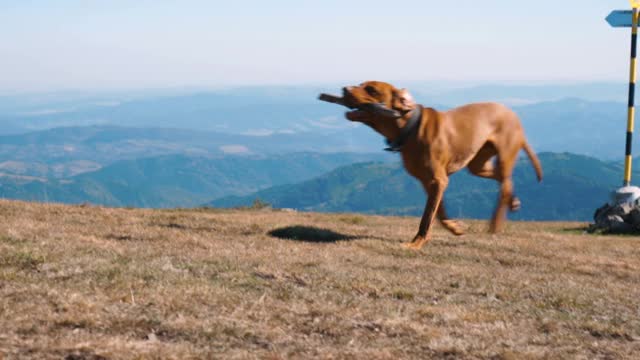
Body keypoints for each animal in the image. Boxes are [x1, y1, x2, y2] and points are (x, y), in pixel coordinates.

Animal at [320, 81, 540, 250]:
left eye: (371, 89)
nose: (344, 89)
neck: (411, 128)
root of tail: (513, 114)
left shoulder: (437, 181)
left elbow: (426, 218)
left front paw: (416, 243)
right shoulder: (429, 182)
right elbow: (439, 214)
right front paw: (454, 227)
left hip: (503, 155)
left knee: (504, 182)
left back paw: (496, 221)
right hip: (478, 164)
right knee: (504, 179)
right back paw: (513, 201)